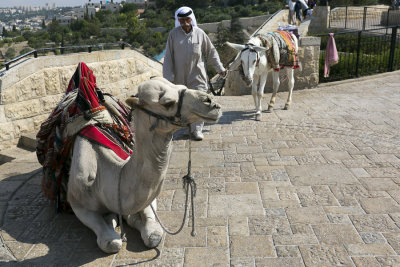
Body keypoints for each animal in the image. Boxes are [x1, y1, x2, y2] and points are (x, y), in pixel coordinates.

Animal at [66, 77, 222, 253]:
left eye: (182, 86)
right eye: (167, 103)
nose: (212, 103)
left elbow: (152, 233)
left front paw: (130, 220)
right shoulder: (78, 204)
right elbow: (111, 242)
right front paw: (113, 225)